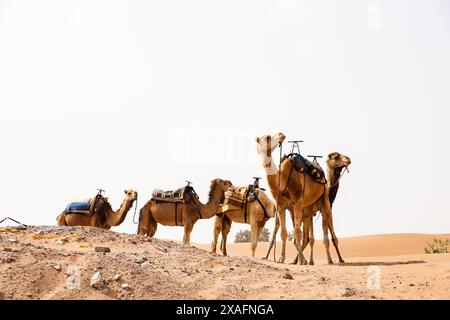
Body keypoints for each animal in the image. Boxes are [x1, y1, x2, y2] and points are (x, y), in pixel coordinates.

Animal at [256, 132, 344, 264]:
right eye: (267, 137)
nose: (281, 134)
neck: (281, 180)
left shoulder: (297, 203)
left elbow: (297, 232)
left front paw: (302, 260)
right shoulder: (281, 205)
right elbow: (284, 232)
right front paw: (281, 258)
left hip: (325, 200)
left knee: (329, 227)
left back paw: (336, 260)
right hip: (307, 209)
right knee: (308, 235)